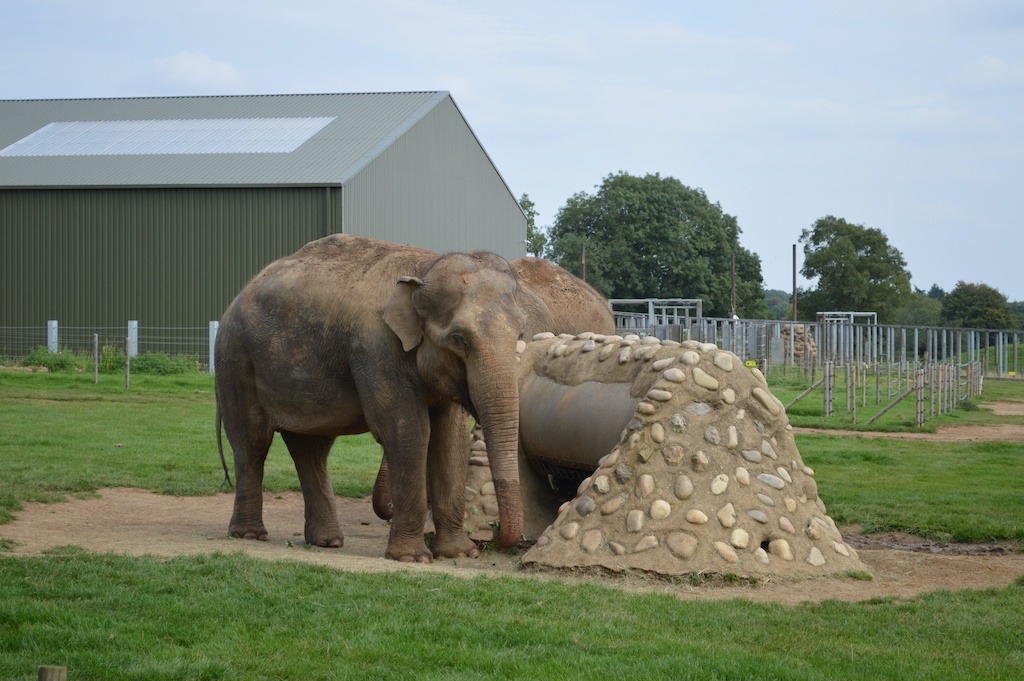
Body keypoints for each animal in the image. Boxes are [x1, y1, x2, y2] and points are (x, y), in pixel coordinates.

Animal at [216, 234, 564, 563]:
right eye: (458, 339)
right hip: (235, 360)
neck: (425, 270)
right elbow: (407, 431)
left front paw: (459, 554)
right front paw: (412, 558)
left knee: (311, 448)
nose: (494, 536)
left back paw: (327, 542)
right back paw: (250, 535)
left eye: (520, 334)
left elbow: (450, 440)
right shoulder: (376, 347)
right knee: (252, 442)